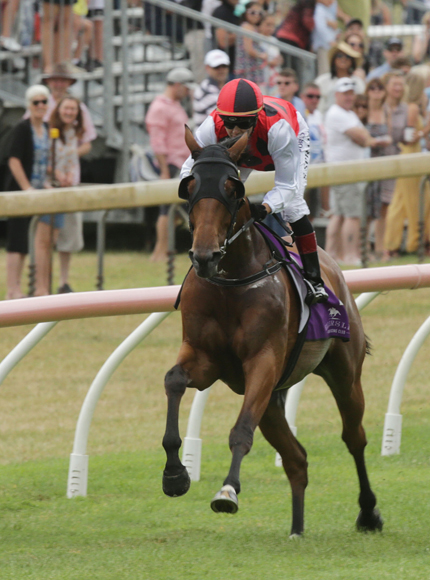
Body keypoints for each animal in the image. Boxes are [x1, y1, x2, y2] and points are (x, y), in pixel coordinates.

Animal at [162, 125, 382, 536]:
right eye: (190, 184)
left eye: (232, 188)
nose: (204, 256)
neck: (231, 280)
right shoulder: (205, 359)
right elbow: (174, 381)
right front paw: (175, 475)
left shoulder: (262, 361)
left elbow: (240, 430)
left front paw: (227, 491)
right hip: (272, 396)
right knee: (297, 458)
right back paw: (296, 529)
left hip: (344, 372)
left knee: (353, 437)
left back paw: (368, 512)